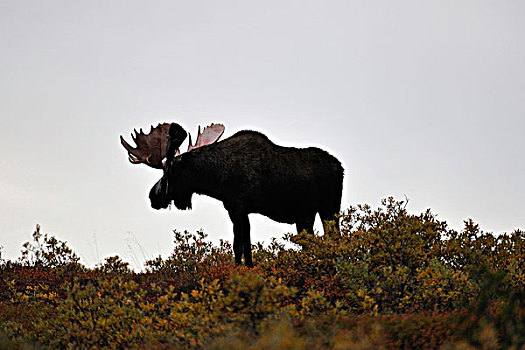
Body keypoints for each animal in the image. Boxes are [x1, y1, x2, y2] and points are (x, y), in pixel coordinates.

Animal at [122, 121, 344, 266]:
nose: (153, 196)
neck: (217, 178)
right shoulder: (236, 210)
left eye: (168, 171)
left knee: (335, 238)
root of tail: (340, 167)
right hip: (305, 216)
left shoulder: (239, 208)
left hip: (330, 208)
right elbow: (243, 246)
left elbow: (240, 246)